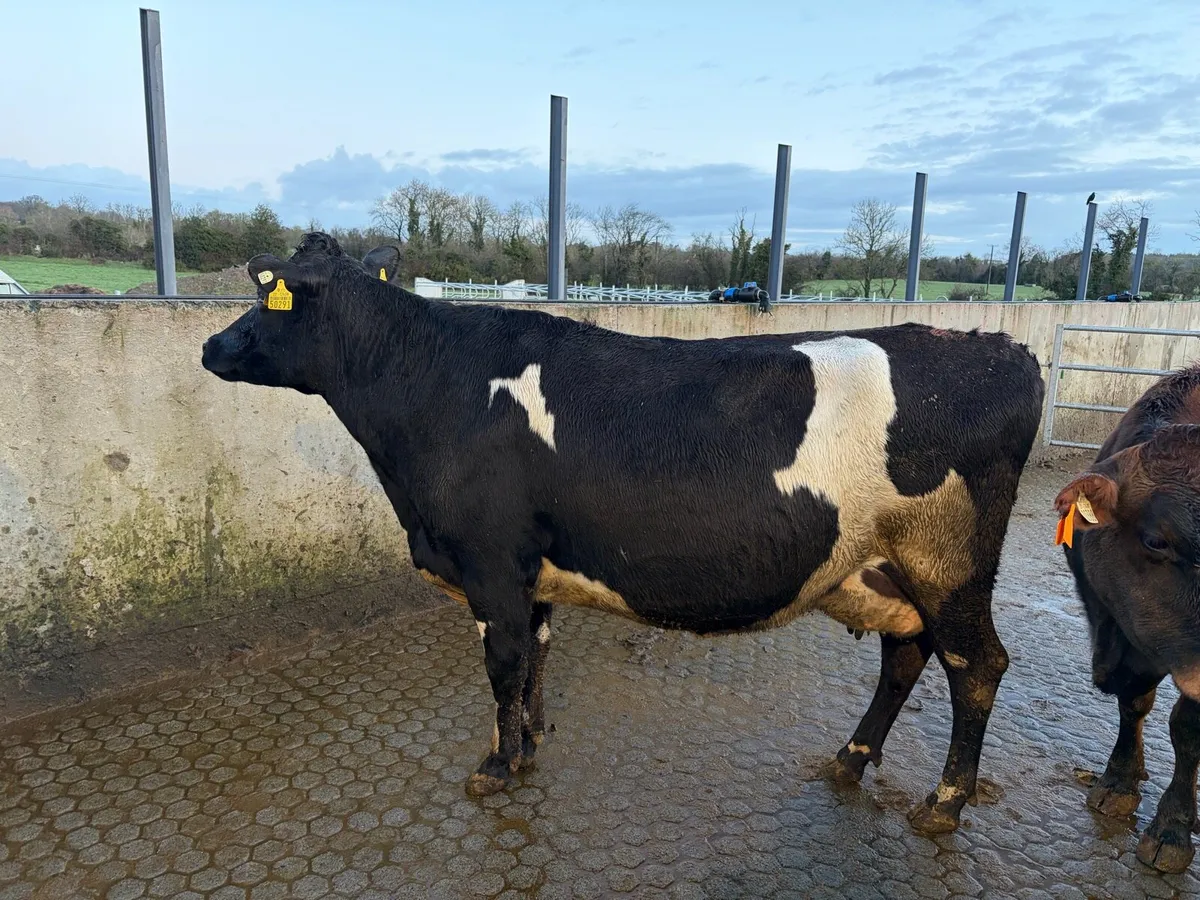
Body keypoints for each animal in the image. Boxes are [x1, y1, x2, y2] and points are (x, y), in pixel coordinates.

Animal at [201, 232, 1045, 836]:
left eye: (267, 298)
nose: (211, 346)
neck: (434, 385)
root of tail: (999, 345)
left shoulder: (489, 562)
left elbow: (502, 666)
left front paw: (495, 765)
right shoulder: (531, 569)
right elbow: (536, 658)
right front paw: (530, 745)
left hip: (949, 563)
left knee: (976, 665)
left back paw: (943, 802)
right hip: (886, 568)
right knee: (906, 655)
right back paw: (851, 759)